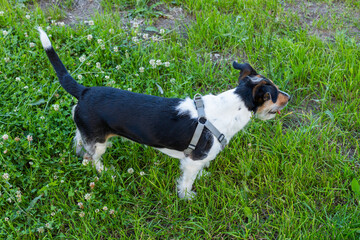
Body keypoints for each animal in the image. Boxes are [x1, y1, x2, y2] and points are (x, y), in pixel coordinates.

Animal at [38, 28, 292, 199]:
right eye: (275, 94)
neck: (232, 106)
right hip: (99, 142)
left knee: (79, 142)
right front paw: (187, 197)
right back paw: (106, 172)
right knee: (92, 160)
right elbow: (186, 182)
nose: (289, 97)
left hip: (88, 132)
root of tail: (84, 90)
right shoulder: (191, 161)